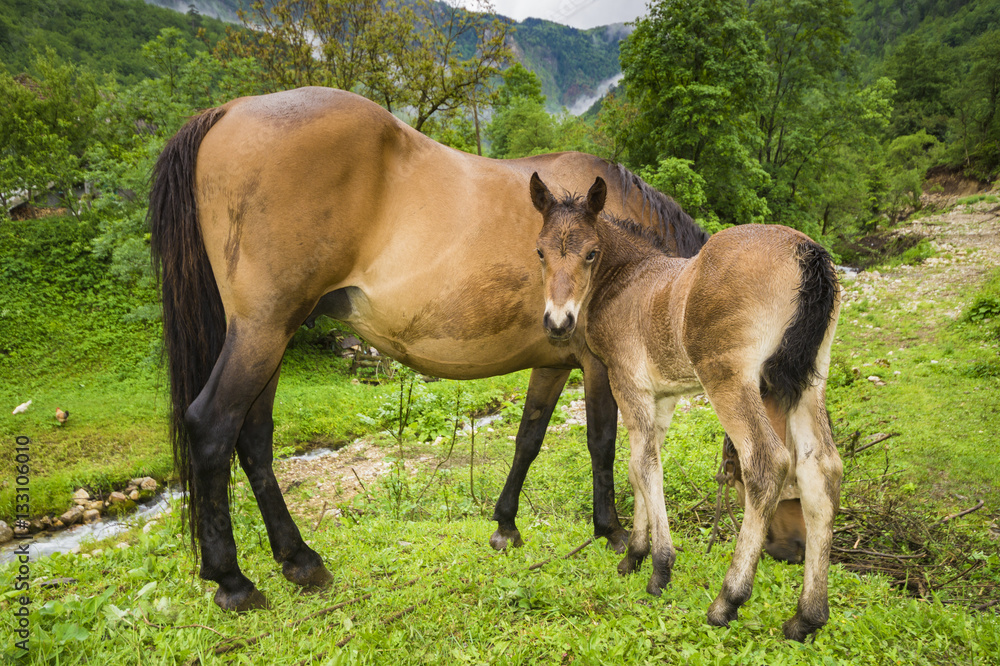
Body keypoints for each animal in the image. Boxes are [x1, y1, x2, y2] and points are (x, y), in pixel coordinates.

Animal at [148, 86, 710, 611]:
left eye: (589, 254)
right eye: (546, 253)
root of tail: (229, 110)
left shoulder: (552, 362)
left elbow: (528, 438)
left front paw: (505, 525)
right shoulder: (597, 366)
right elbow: (603, 443)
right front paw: (611, 531)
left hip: (271, 338)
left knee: (254, 438)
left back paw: (299, 560)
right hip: (261, 331)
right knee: (212, 426)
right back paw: (233, 581)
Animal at [529, 173, 842, 641]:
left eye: (591, 253)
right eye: (540, 251)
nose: (558, 323)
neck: (627, 281)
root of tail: (807, 252)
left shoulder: (629, 384)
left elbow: (643, 466)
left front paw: (659, 568)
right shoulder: (663, 396)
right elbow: (641, 463)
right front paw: (635, 554)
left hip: (728, 378)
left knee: (767, 464)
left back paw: (726, 602)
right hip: (809, 381)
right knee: (821, 470)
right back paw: (806, 617)